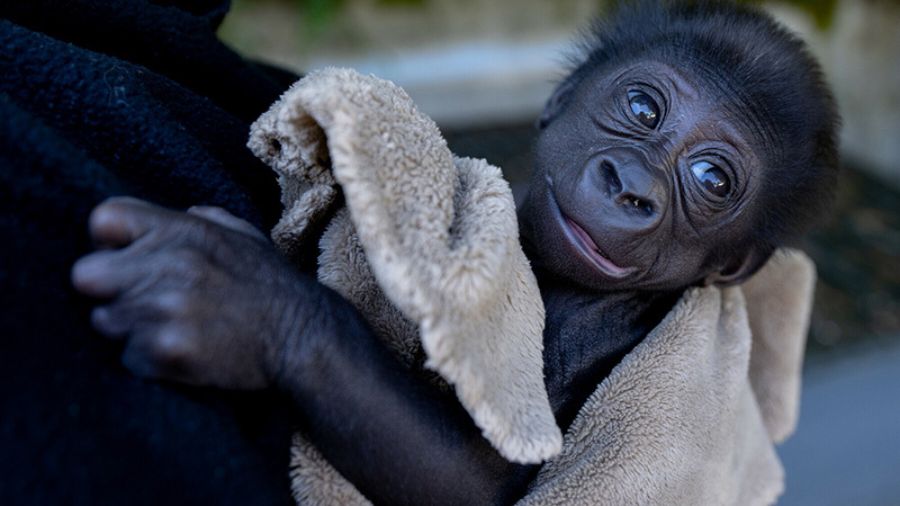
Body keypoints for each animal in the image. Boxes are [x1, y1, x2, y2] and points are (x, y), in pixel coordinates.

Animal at [70, 1, 836, 504]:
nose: (632, 187)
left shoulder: (603, 326)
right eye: (644, 109)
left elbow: (472, 480)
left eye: (712, 180)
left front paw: (247, 307)